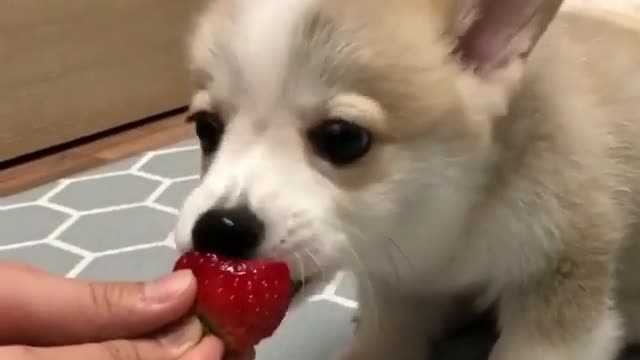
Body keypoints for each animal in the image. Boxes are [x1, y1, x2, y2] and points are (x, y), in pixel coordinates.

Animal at [171, 0, 640, 358]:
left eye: (343, 138)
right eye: (206, 129)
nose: (219, 229)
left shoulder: (559, 283)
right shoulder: (396, 288)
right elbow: (381, 340)